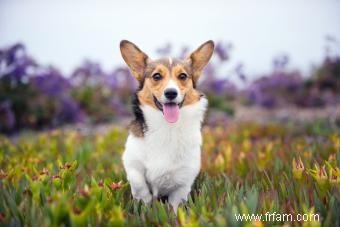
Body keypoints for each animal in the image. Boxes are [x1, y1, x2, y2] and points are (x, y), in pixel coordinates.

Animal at [120, 40, 215, 212]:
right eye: (157, 76)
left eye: (182, 76)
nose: (171, 93)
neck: (167, 127)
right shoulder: (132, 163)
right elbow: (139, 184)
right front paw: (145, 204)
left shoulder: (184, 179)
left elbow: (175, 203)